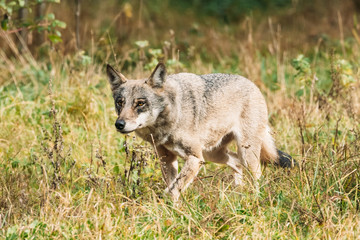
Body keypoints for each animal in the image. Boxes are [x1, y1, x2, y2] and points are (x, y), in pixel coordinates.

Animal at [106, 62, 296, 201]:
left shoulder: (195, 158)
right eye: (120, 103)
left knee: (256, 176)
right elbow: (173, 185)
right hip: (214, 155)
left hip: (244, 153)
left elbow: (174, 188)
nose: (119, 124)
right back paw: (238, 192)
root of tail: (252, 84)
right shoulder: (167, 159)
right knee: (236, 164)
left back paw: (254, 199)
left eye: (140, 103)